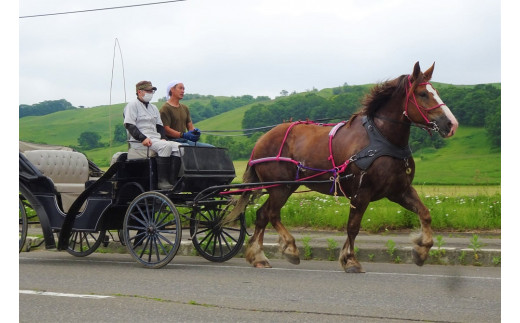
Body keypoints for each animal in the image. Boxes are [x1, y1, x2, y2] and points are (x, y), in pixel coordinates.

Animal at [223, 62, 460, 274]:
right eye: (423, 94)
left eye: (436, 91)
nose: (451, 124)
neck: (381, 138)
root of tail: (261, 141)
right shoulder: (361, 193)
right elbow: (353, 227)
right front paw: (350, 260)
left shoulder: (398, 191)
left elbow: (425, 214)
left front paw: (422, 250)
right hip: (280, 186)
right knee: (271, 214)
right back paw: (289, 248)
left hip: (284, 187)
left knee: (263, 215)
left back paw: (258, 256)